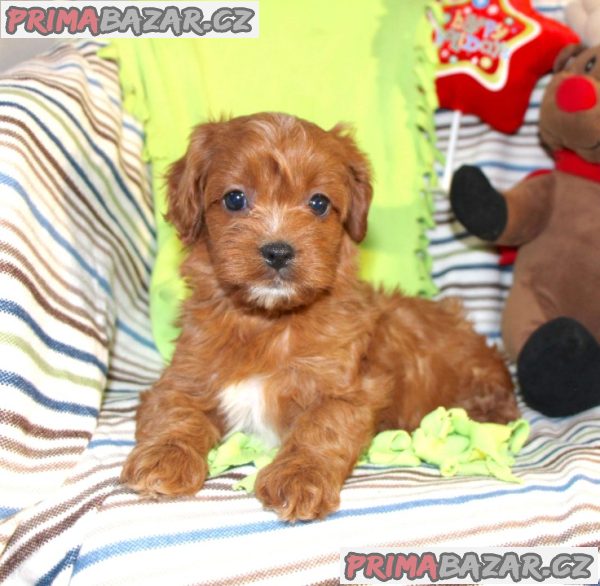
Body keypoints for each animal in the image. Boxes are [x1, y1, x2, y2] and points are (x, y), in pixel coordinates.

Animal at [120, 113, 516, 520]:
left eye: (319, 203)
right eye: (234, 198)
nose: (278, 252)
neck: (268, 321)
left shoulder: (350, 389)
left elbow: (322, 426)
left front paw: (300, 476)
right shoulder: (186, 374)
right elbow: (176, 410)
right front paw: (165, 457)